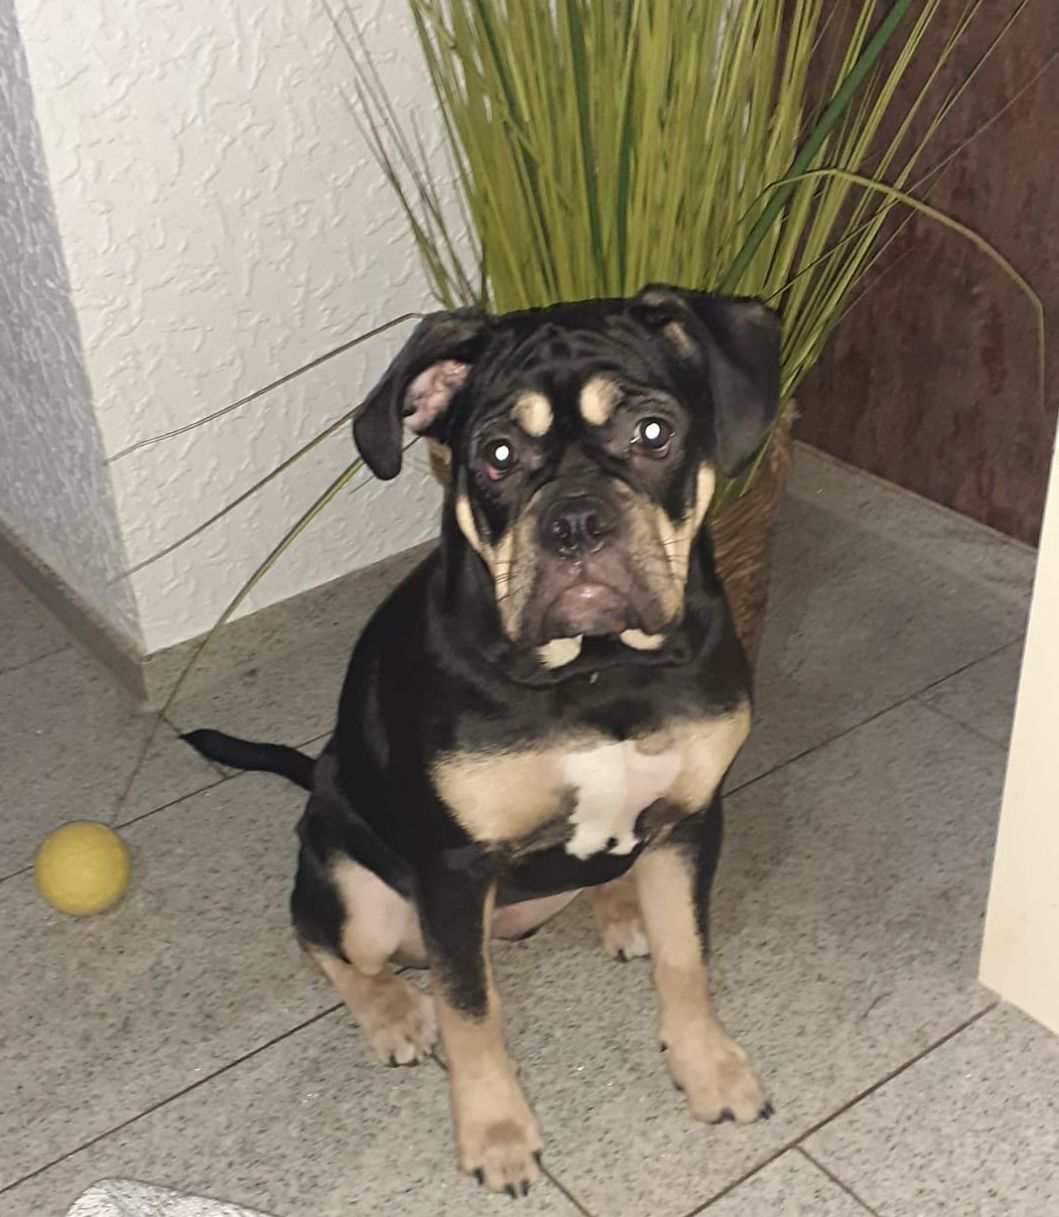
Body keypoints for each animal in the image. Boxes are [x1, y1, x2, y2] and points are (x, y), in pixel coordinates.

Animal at [184, 285, 780, 1196]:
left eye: (652, 433)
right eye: (497, 454)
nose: (575, 522)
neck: (597, 671)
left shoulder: (689, 819)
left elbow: (687, 957)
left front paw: (708, 1067)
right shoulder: (454, 869)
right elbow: (470, 1010)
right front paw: (496, 1133)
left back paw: (617, 903)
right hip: (352, 887)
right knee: (324, 938)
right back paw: (393, 1012)